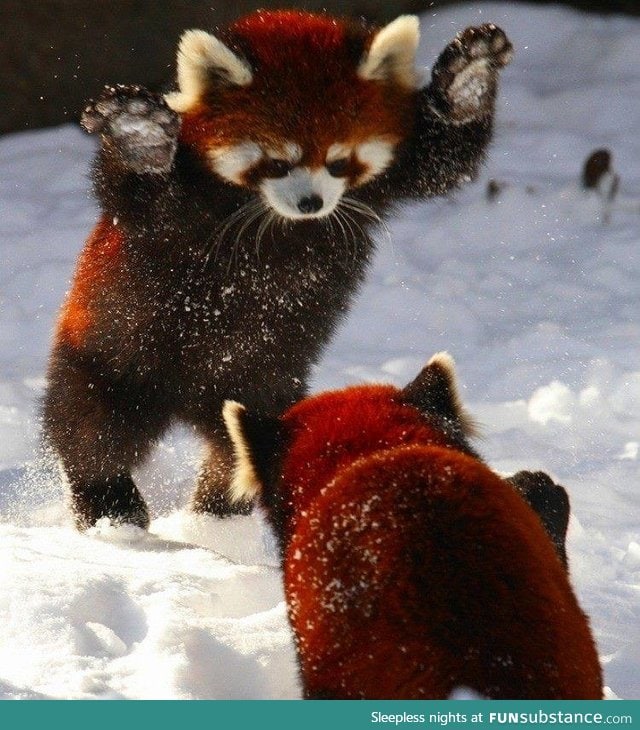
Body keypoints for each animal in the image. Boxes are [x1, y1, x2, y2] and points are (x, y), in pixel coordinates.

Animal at [42, 11, 516, 528]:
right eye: (276, 163)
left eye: (338, 161)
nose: (311, 203)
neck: (278, 219)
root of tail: (189, 402)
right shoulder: (175, 212)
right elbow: (137, 195)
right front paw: (139, 136)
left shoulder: (391, 175)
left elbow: (446, 161)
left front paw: (466, 78)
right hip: (115, 358)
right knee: (90, 427)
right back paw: (111, 507)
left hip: (266, 387)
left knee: (238, 449)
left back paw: (219, 513)